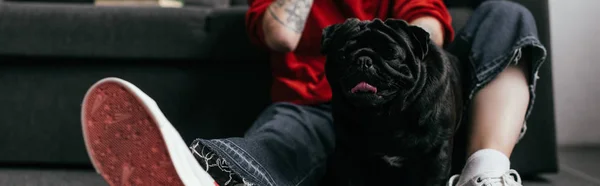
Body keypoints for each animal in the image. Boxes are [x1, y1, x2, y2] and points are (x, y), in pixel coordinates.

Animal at [324, 18, 464, 186]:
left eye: (391, 54)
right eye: (342, 56)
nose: (363, 60)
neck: (384, 116)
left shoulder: (435, 158)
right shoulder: (348, 156)